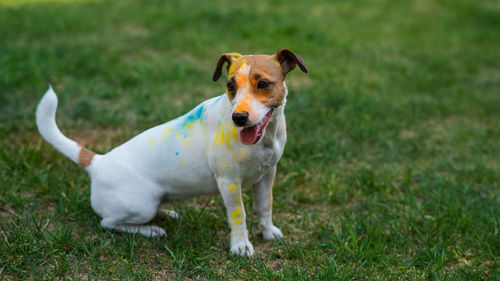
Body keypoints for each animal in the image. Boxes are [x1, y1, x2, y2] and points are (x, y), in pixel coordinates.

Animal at [35, 48, 306, 256]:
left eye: (263, 84)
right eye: (230, 86)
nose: (238, 118)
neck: (264, 139)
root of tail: (97, 163)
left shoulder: (267, 175)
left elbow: (265, 207)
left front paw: (268, 233)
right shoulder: (229, 182)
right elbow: (238, 216)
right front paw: (240, 246)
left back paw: (165, 213)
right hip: (140, 204)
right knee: (108, 222)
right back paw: (151, 229)